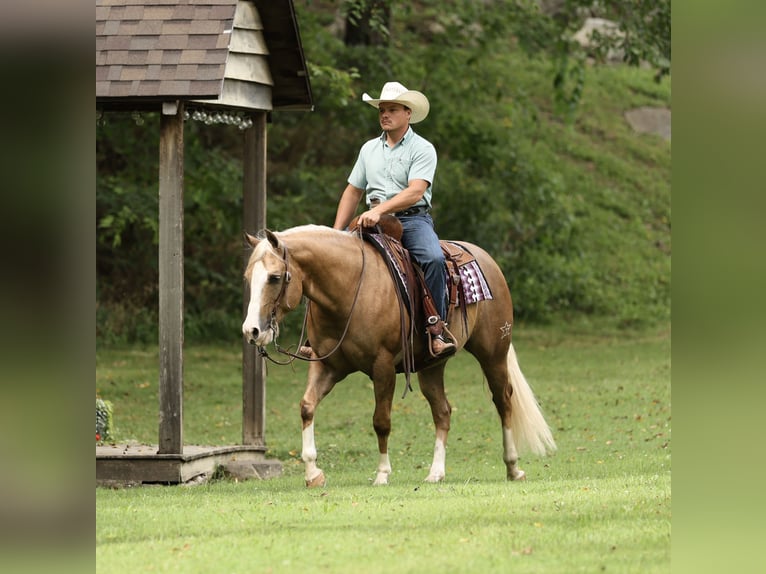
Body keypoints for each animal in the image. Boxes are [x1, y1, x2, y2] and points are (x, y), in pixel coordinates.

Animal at [242, 224, 556, 487]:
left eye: (274, 277)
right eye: (248, 278)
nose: (252, 330)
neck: (349, 289)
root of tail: (485, 259)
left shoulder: (382, 366)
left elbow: (381, 420)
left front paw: (382, 474)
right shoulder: (327, 365)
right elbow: (307, 406)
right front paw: (312, 473)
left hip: (493, 353)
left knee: (503, 400)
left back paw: (513, 467)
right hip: (432, 366)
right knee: (443, 411)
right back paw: (436, 473)